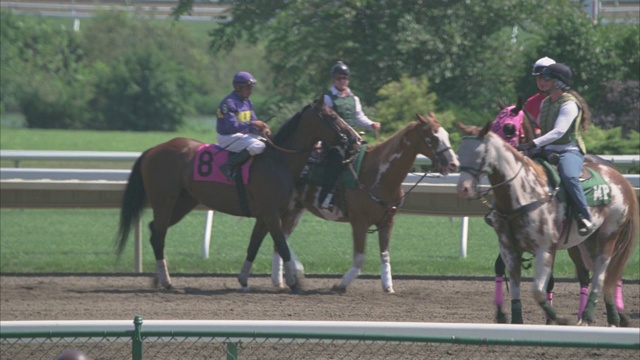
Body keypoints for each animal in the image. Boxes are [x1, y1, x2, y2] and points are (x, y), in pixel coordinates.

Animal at [114, 97, 356, 292]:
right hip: (164, 200)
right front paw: (295, 283)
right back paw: (167, 281)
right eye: (333, 116)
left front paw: (243, 280)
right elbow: (282, 245)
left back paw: (160, 279)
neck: (279, 161)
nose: (354, 138)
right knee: (159, 234)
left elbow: (254, 246)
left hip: (183, 202)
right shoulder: (271, 213)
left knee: (155, 230)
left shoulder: (264, 216)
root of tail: (152, 150)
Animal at [262, 112, 458, 292]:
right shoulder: (359, 222)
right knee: (279, 238)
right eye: (434, 137)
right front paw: (341, 284)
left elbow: (385, 255)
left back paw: (280, 280)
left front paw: (388, 287)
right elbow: (360, 257)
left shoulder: (387, 222)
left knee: (280, 239)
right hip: (287, 208)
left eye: (446, 134)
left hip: (296, 209)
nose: (454, 164)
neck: (376, 173)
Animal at [456, 121, 636, 326]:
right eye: (459, 151)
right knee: (600, 275)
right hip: (586, 243)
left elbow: (539, 291)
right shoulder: (509, 249)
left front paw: (558, 318)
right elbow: (515, 286)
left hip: (609, 235)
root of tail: (619, 177)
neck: (523, 193)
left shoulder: (545, 249)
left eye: (479, 153)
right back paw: (612, 316)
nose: (463, 189)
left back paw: (589, 316)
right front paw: (513, 319)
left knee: (601, 273)